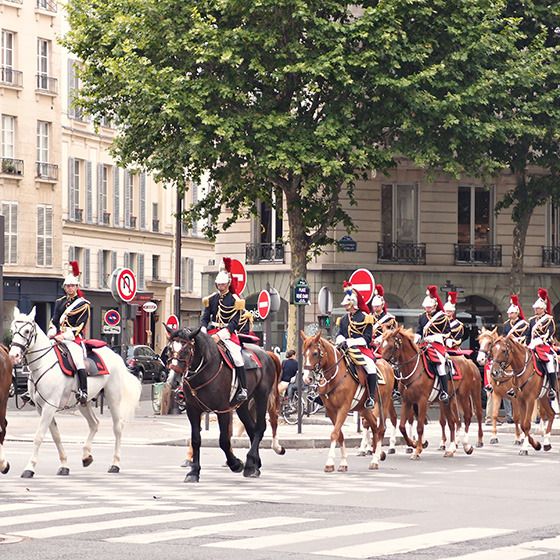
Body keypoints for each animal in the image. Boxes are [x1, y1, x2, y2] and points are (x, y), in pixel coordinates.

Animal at [9, 306, 142, 476]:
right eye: (12, 330)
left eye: (27, 331)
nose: (14, 355)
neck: (43, 363)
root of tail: (117, 356)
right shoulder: (41, 408)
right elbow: (56, 436)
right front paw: (64, 465)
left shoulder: (49, 406)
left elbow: (39, 436)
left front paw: (29, 468)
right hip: (83, 402)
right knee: (94, 424)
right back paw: (86, 456)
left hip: (113, 399)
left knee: (117, 427)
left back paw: (115, 464)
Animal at [165, 326, 280, 484]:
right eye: (169, 350)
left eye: (187, 351)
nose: (173, 381)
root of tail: (266, 353)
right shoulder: (192, 410)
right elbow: (196, 440)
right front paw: (194, 472)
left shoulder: (223, 409)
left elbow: (224, 440)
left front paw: (236, 464)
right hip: (242, 405)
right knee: (251, 428)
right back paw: (255, 465)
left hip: (261, 396)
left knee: (259, 427)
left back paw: (249, 463)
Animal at [302, 330, 398, 470]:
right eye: (303, 353)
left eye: (315, 353)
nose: (306, 378)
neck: (335, 375)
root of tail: (387, 365)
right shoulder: (330, 410)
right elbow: (339, 434)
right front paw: (343, 462)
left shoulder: (344, 408)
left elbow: (334, 433)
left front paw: (330, 462)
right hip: (364, 408)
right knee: (374, 425)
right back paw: (377, 453)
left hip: (383, 404)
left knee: (381, 429)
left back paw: (375, 460)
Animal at [380, 328, 468, 460]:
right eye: (381, 345)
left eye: (391, 346)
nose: (383, 365)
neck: (413, 369)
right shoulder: (407, 401)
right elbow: (402, 426)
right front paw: (414, 443)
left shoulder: (422, 401)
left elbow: (420, 426)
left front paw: (417, 450)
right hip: (446, 401)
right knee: (452, 422)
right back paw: (451, 449)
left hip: (460, 398)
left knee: (462, 419)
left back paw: (464, 446)